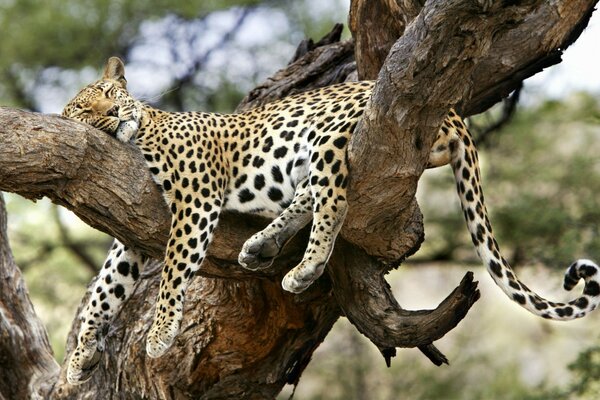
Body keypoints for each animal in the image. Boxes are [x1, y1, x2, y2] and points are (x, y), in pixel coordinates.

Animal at [62, 57, 600, 384]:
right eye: (85, 111)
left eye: (110, 93)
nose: (113, 113)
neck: (141, 132)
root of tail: (451, 111)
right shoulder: (131, 232)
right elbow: (104, 289)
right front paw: (79, 357)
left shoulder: (195, 199)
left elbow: (174, 270)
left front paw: (159, 334)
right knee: (310, 196)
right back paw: (261, 246)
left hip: (328, 135)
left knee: (334, 202)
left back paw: (304, 268)